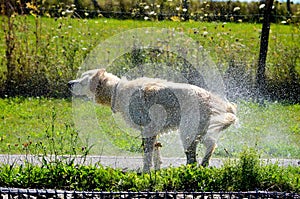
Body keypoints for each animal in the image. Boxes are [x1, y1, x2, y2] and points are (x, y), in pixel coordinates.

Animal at [68, 68, 237, 171]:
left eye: (83, 81)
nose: (69, 83)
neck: (117, 91)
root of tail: (208, 96)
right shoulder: (153, 130)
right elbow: (156, 154)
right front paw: (156, 170)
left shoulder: (148, 129)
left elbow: (147, 155)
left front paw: (145, 172)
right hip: (197, 131)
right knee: (211, 144)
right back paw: (204, 164)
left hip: (187, 132)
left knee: (192, 157)